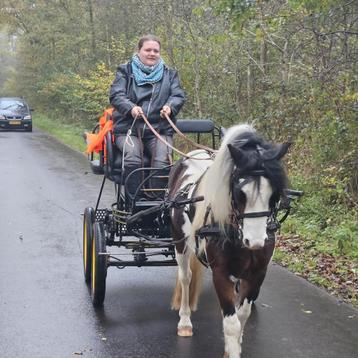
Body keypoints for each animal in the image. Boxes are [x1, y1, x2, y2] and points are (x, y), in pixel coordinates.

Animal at [168, 122, 290, 356]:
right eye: (239, 191)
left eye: (274, 193)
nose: (255, 242)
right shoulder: (220, 273)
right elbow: (231, 322)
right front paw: (231, 349)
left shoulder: (257, 273)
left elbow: (242, 315)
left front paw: (236, 344)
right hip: (180, 243)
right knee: (186, 277)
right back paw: (185, 321)